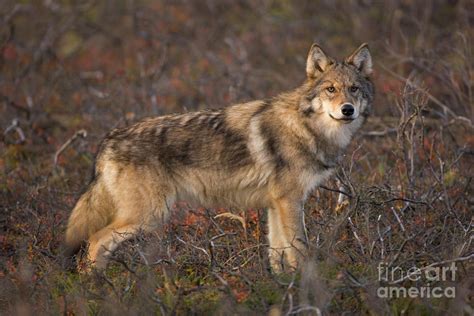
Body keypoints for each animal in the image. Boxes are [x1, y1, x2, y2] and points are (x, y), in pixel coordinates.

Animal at [64, 43, 374, 272]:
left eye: (354, 89)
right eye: (330, 89)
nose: (347, 110)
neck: (305, 127)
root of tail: (109, 139)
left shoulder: (275, 204)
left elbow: (277, 255)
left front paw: (279, 288)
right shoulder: (290, 202)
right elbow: (299, 251)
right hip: (150, 216)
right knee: (95, 241)